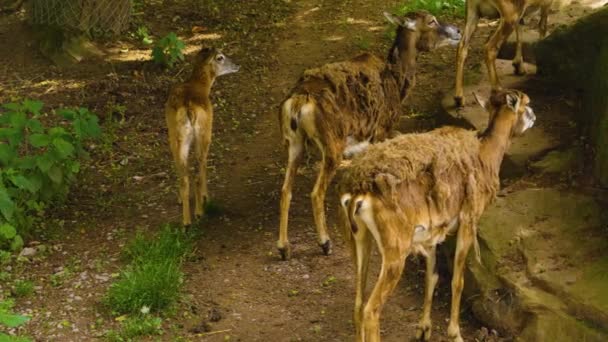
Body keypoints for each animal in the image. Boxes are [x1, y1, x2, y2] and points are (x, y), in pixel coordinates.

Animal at [167, 46, 241, 226]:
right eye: (220, 57)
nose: (237, 65)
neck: (200, 85)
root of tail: (189, 109)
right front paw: (205, 197)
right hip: (204, 132)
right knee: (199, 169)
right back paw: (200, 211)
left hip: (176, 137)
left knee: (184, 176)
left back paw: (186, 221)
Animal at [276, 10, 460, 260]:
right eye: (432, 21)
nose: (458, 31)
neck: (397, 82)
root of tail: (297, 103)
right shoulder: (382, 129)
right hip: (332, 142)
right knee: (315, 192)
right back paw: (325, 243)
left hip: (293, 142)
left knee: (286, 189)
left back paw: (283, 247)